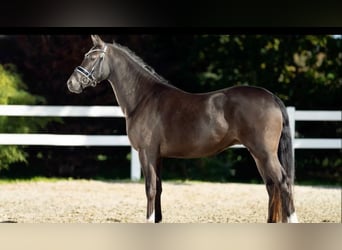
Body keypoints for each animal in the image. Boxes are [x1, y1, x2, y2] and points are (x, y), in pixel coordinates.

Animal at [67, 34, 296, 223]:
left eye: (93, 57)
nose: (72, 83)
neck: (143, 98)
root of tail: (271, 97)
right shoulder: (157, 155)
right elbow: (159, 188)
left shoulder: (146, 152)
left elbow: (150, 189)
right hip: (258, 155)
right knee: (271, 186)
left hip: (264, 153)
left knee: (283, 183)